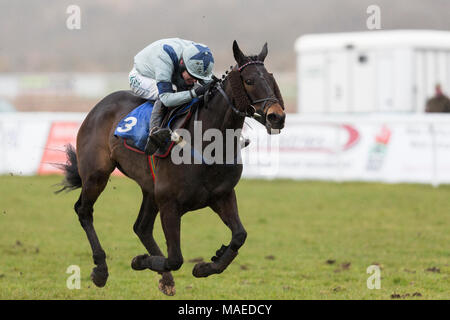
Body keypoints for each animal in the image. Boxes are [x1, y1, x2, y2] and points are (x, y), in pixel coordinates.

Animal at [58, 41, 286, 296]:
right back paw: (100, 269)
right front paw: (139, 261)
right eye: (249, 80)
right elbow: (175, 258)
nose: (276, 117)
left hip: (150, 188)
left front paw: (207, 266)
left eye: (271, 78)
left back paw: (165, 279)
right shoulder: (170, 203)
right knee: (84, 210)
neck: (209, 142)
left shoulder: (222, 195)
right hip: (97, 175)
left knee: (142, 227)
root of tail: (99, 106)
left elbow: (239, 236)